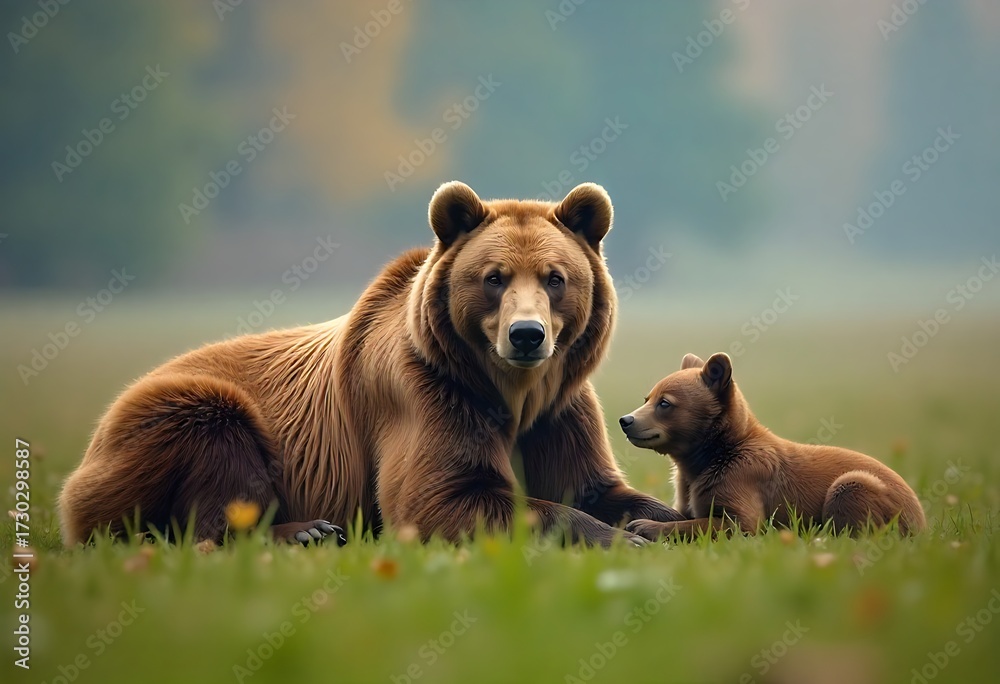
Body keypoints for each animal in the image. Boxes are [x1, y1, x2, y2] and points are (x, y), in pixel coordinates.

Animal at [58, 181, 684, 547]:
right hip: (175, 413)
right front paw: (620, 539)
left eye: (556, 278)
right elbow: (444, 497)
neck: (511, 392)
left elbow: (598, 487)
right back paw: (307, 531)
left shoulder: (559, 411)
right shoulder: (428, 392)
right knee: (213, 461)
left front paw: (667, 523)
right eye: (494, 277)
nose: (526, 335)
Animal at [618, 352, 926, 540]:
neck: (711, 454)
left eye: (665, 403)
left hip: (864, 488)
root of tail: (921, 519)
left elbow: (738, 524)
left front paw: (646, 526)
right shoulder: (690, 483)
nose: (625, 420)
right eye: (647, 398)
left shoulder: (741, 476)